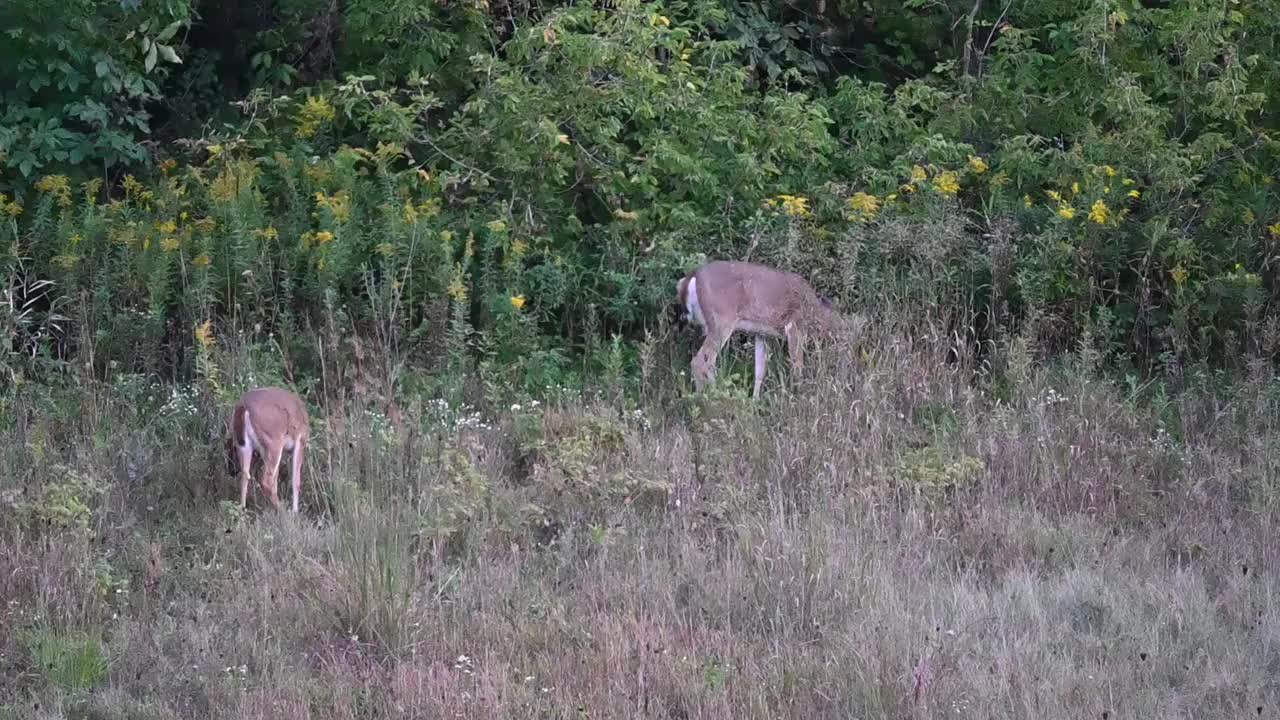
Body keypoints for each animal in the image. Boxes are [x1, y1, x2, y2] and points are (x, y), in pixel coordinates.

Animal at [670, 258, 839, 397]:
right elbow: (797, 365)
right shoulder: (795, 326)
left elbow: (760, 370)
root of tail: (690, 278)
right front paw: (798, 395)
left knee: (707, 362)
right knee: (700, 362)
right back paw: (711, 396)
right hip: (720, 321)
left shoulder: (761, 333)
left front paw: (755, 402)